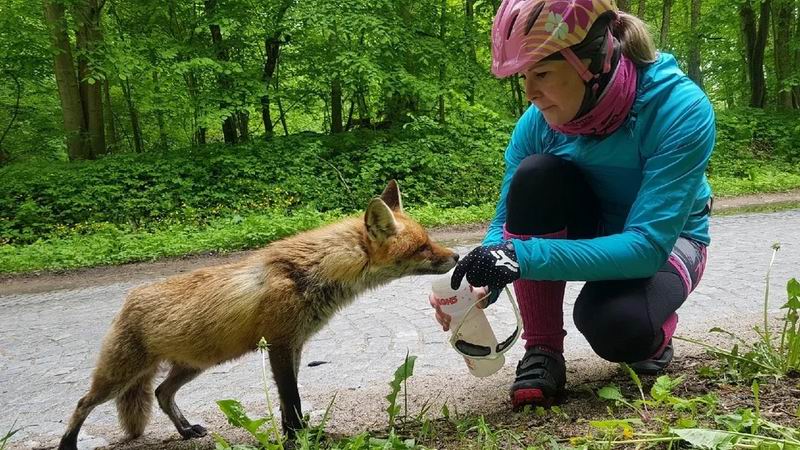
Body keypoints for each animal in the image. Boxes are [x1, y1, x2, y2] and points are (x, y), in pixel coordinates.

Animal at [59, 181, 460, 448]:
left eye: (429, 239)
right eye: (423, 247)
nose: (457, 256)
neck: (313, 272)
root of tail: (130, 299)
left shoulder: (295, 346)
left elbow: (286, 403)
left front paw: (295, 434)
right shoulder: (280, 344)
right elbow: (292, 401)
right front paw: (299, 437)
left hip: (192, 366)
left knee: (160, 393)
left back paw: (186, 430)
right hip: (119, 375)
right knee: (82, 404)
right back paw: (67, 443)